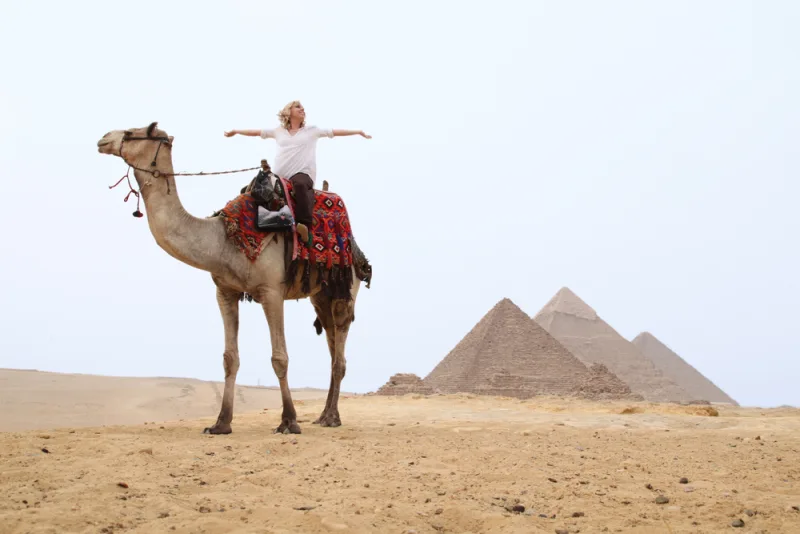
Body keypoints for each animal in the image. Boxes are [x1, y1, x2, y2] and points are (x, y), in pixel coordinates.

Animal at [97, 122, 370, 435]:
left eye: (133, 132)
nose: (103, 139)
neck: (223, 240)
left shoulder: (271, 291)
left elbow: (280, 357)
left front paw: (288, 421)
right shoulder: (225, 291)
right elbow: (230, 359)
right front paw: (220, 423)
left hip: (345, 289)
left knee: (339, 352)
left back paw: (332, 417)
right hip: (320, 295)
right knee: (332, 344)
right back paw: (324, 414)